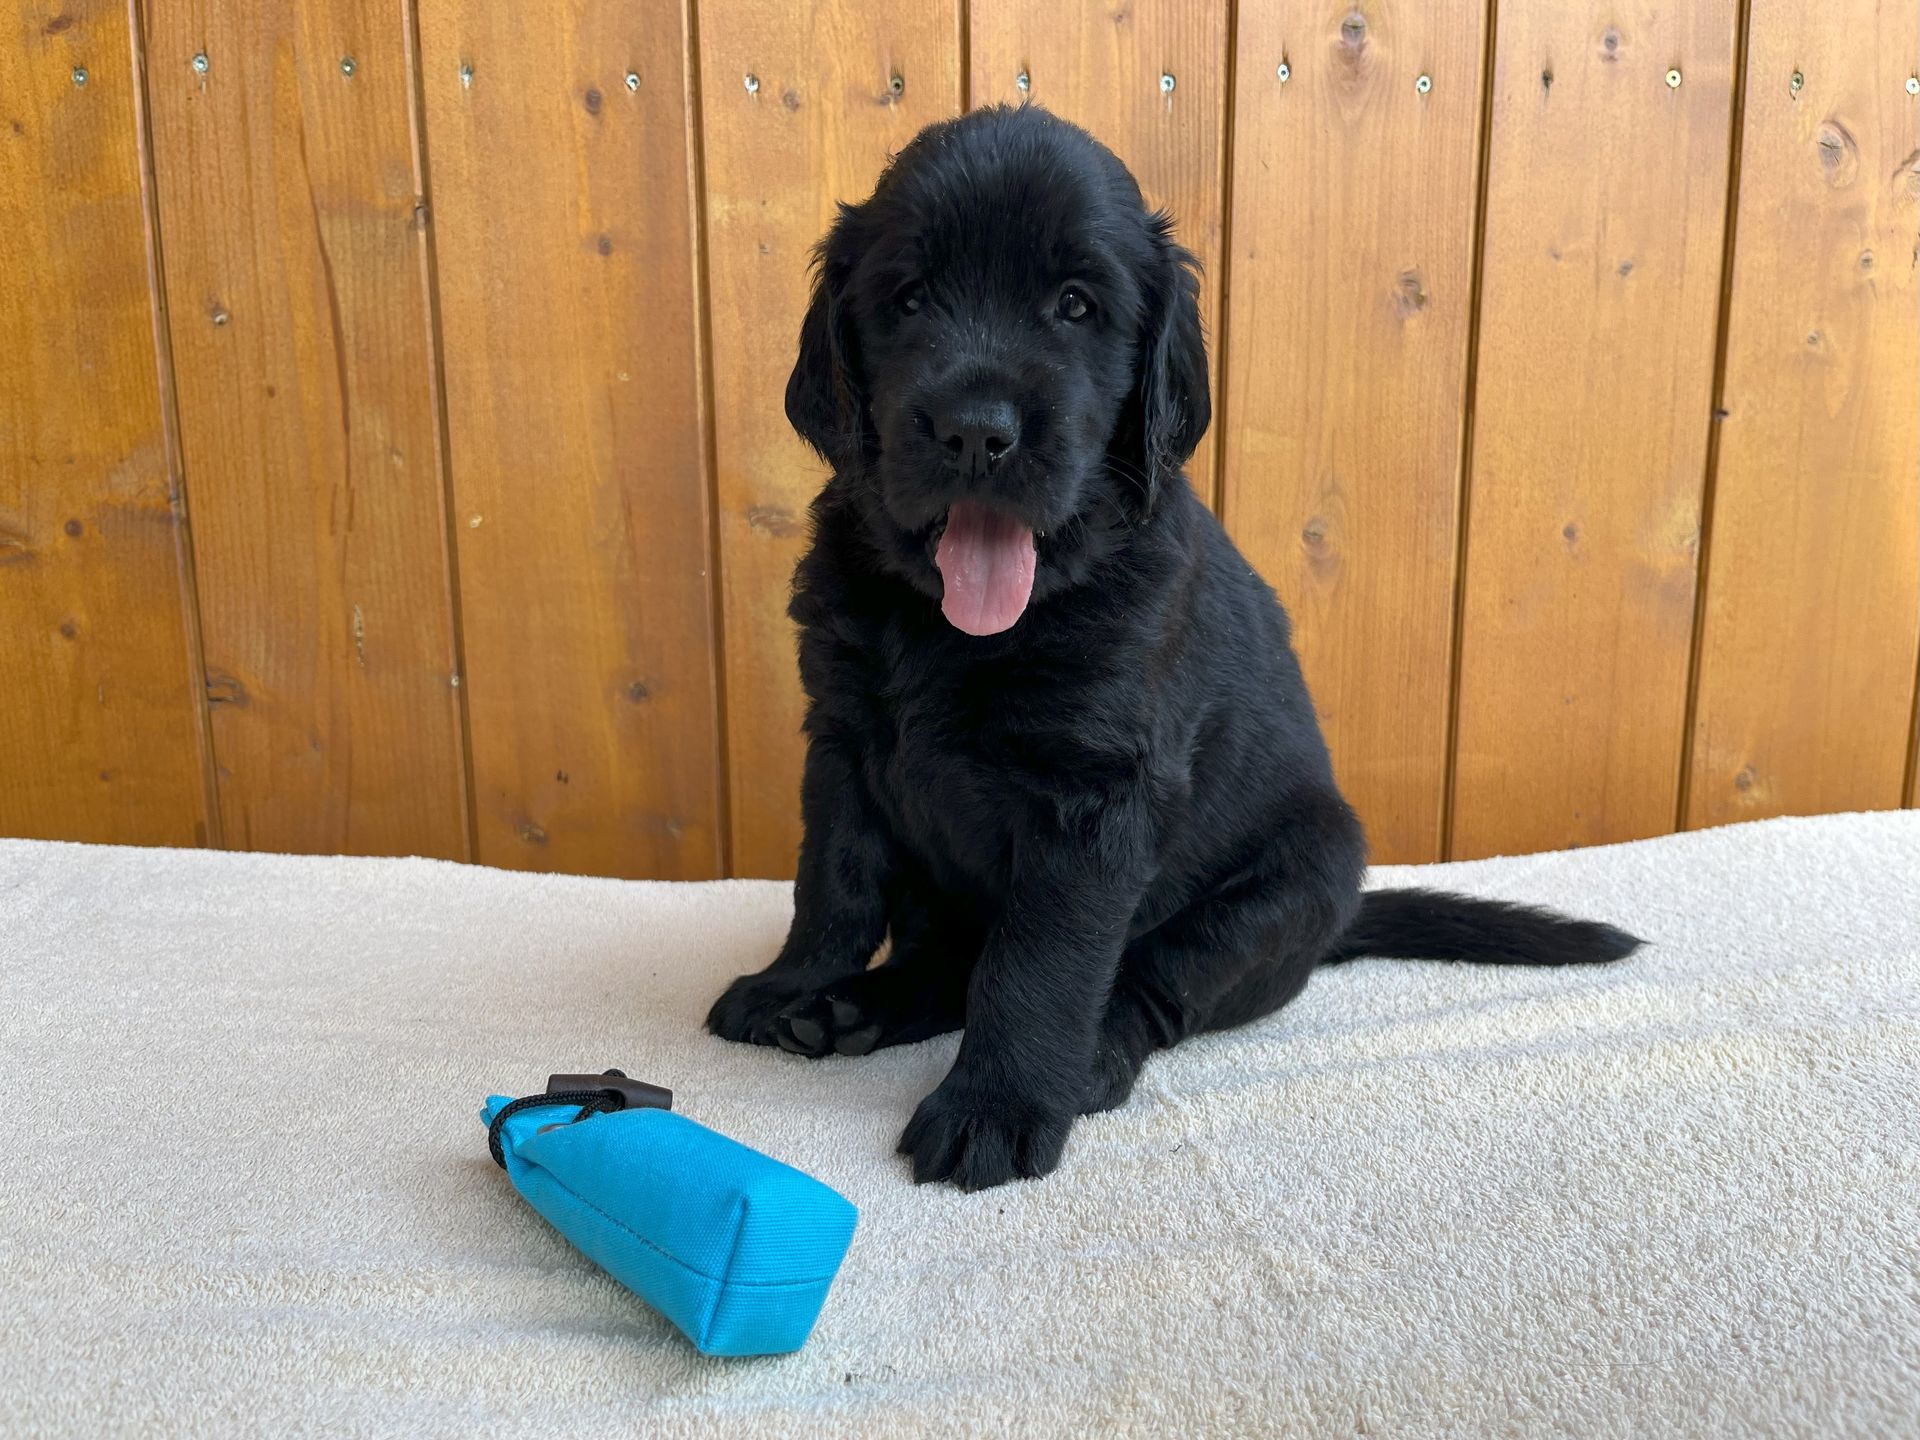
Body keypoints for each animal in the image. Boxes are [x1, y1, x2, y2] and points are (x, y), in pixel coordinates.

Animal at [707, 105, 1641, 1191]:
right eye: (908, 298)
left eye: (1075, 306)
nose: (976, 430)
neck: (952, 623)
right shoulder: (847, 741)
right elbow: (834, 881)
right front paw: (792, 984)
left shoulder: (1094, 800)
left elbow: (1039, 965)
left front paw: (996, 1107)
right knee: (946, 959)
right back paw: (853, 1007)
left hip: (1299, 873)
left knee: (1149, 981)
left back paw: (1083, 1063)